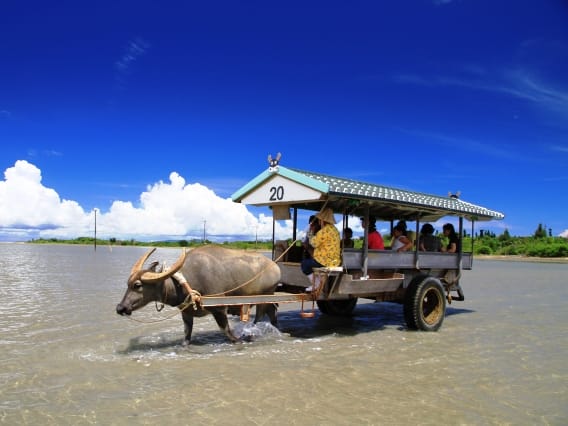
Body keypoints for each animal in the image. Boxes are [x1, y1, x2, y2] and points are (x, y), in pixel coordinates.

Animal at [116, 245, 282, 344]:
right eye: (127, 283)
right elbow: (186, 336)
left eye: (137, 285)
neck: (186, 283)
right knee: (271, 313)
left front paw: (242, 338)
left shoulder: (220, 309)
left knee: (261, 315)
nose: (120, 308)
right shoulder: (186, 313)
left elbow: (228, 332)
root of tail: (274, 266)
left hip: (265, 295)